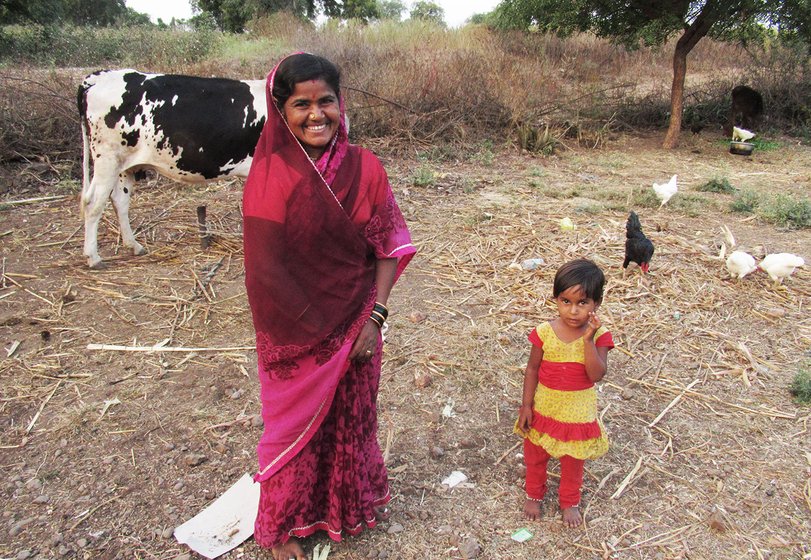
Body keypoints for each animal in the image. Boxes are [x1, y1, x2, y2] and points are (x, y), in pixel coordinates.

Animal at [77, 70, 266, 270]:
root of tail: (102, 76)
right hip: (107, 160)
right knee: (93, 204)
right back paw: (93, 257)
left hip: (124, 166)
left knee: (119, 200)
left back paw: (134, 246)